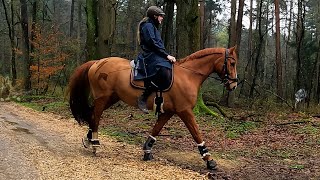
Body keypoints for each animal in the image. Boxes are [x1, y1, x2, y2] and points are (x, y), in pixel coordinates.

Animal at [67, 46, 238, 170]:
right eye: (232, 63)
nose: (234, 85)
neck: (188, 75)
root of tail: (97, 62)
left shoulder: (169, 112)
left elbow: (156, 129)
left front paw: (147, 150)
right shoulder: (185, 111)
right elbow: (196, 133)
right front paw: (209, 159)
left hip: (111, 98)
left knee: (91, 114)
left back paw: (89, 140)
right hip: (103, 97)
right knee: (96, 116)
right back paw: (95, 143)